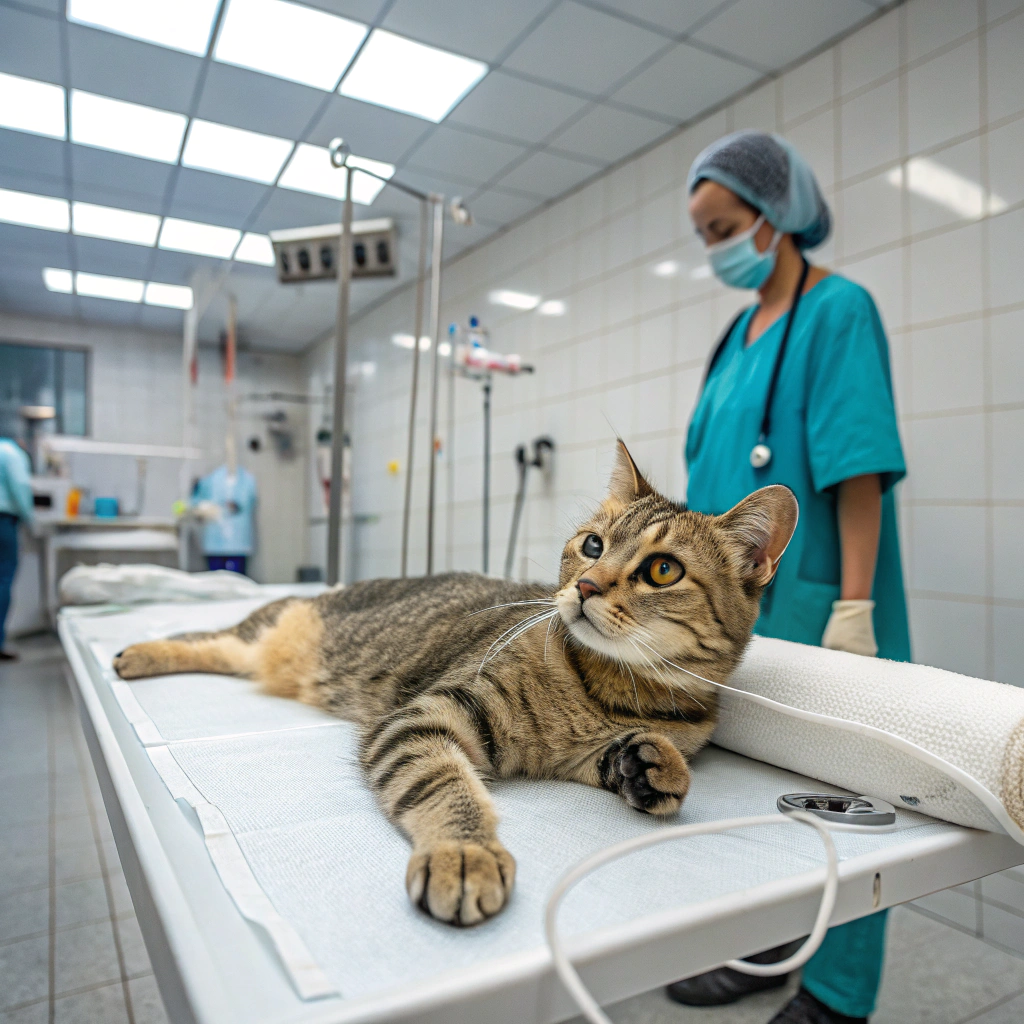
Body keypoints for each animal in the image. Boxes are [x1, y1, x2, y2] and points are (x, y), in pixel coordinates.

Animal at [114, 440, 798, 929]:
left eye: (661, 570)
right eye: (592, 545)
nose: (585, 586)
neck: (612, 692)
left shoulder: (585, 755)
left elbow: (645, 760)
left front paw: (655, 766)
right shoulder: (425, 715)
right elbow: (444, 785)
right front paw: (463, 855)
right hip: (264, 630)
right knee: (209, 637)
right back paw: (134, 653)